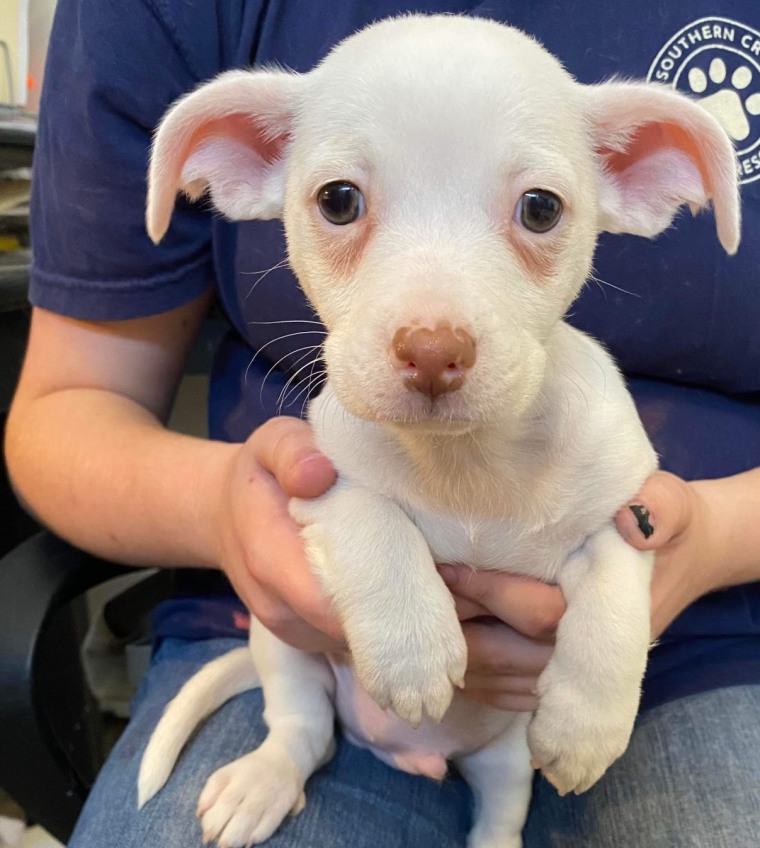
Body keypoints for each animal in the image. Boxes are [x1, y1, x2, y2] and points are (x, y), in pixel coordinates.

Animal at [135, 13, 736, 848]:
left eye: (541, 209)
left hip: (503, 761)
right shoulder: (318, 475)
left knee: (500, 810)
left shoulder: (623, 510)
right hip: (281, 642)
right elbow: (372, 521)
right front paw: (413, 647)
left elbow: (616, 600)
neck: (468, 464)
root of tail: (403, 755)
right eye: (339, 200)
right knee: (301, 730)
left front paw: (588, 723)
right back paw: (264, 779)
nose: (431, 349)